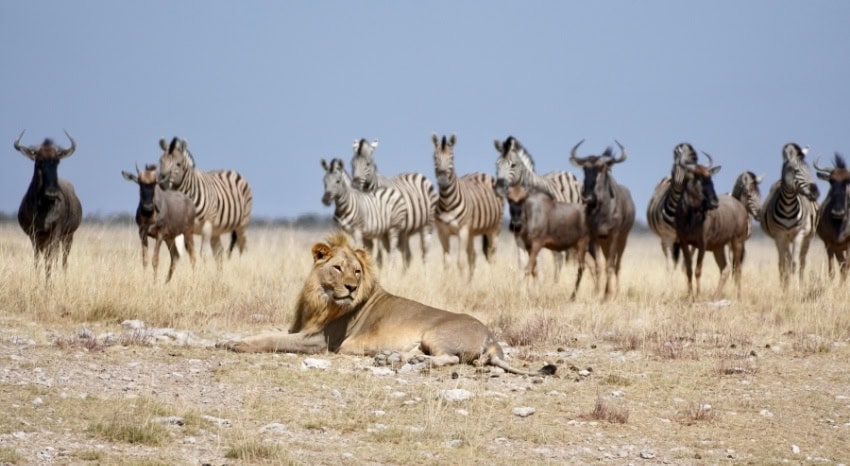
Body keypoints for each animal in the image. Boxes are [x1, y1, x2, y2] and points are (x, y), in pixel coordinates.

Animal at [158, 137, 253, 266]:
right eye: (160, 161)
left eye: (178, 164)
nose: (161, 182)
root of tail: (231, 171)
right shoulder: (185, 228)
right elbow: (189, 253)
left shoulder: (207, 226)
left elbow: (203, 254)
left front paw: (203, 270)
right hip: (216, 230)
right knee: (219, 252)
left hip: (241, 224)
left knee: (243, 247)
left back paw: (242, 265)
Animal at [217, 232, 555, 376]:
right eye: (337, 268)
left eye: (357, 271)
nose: (352, 288)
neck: (319, 299)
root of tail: (492, 338)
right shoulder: (299, 328)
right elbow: (269, 332)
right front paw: (226, 341)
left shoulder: (320, 342)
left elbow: (272, 340)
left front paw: (237, 345)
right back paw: (389, 358)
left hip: (435, 333)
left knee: (449, 359)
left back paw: (412, 363)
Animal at [431, 133, 504, 278]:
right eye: (435, 157)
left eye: (452, 157)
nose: (442, 180)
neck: (447, 201)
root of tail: (482, 173)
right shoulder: (442, 233)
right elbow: (447, 263)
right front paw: (447, 282)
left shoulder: (463, 231)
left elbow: (460, 262)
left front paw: (460, 283)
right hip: (472, 232)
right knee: (473, 257)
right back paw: (470, 281)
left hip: (494, 229)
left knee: (492, 256)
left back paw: (492, 279)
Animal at [492, 135, 583, 280]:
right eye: (497, 164)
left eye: (513, 165)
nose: (499, 188)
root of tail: (565, 172)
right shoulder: (519, 238)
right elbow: (523, 264)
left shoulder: (538, 238)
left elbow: (537, 266)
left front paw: (539, 285)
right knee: (558, 258)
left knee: (562, 258)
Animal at [759, 142, 820, 287]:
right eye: (796, 170)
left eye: (809, 170)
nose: (815, 192)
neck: (788, 207)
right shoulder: (780, 235)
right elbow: (784, 263)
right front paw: (784, 288)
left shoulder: (799, 234)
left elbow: (794, 263)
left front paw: (795, 288)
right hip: (783, 239)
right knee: (784, 260)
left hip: (808, 238)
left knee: (802, 262)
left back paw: (801, 284)